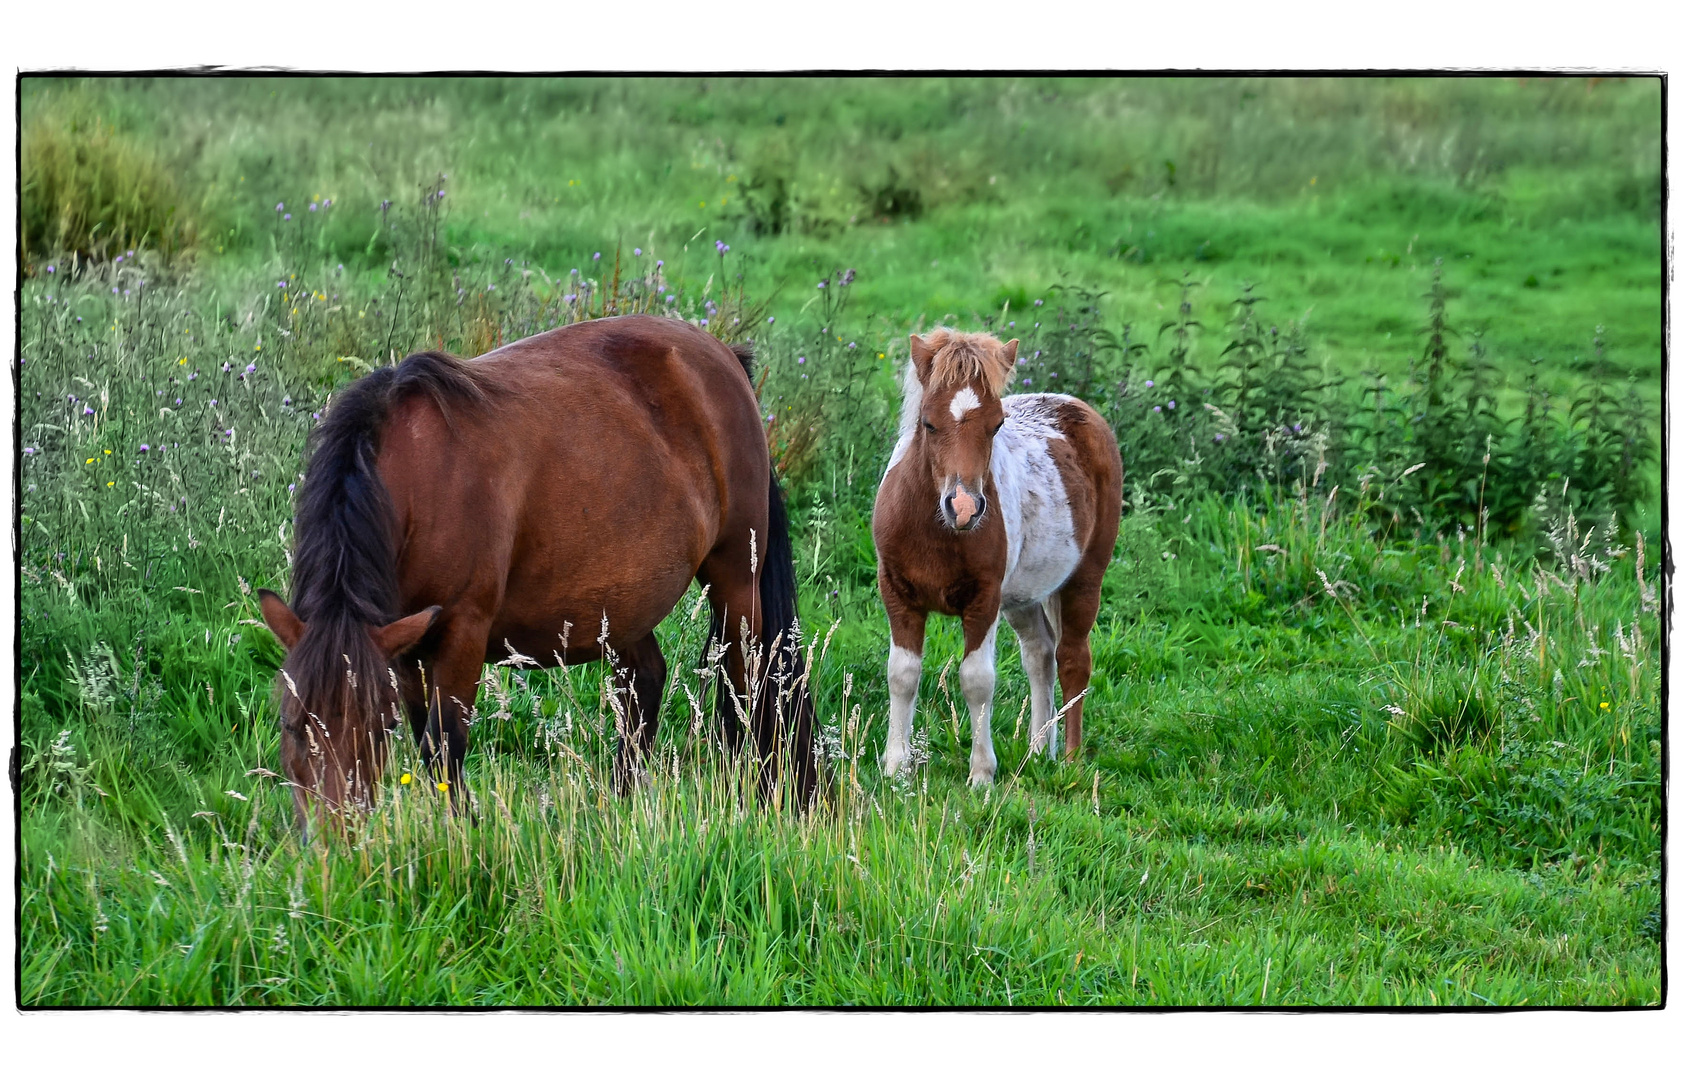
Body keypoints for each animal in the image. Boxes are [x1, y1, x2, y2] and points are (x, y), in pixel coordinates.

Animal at [255, 311, 820, 834]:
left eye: (377, 729)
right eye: (290, 724)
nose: (334, 844)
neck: (416, 482)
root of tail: (725, 357)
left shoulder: (460, 633)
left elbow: (444, 745)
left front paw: (463, 835)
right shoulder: (404, 649)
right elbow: (427, 741)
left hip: (735, 578)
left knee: (754, 688)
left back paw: (765, 800)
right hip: (620, 607)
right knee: (645, 682)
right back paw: (617, 807)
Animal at [874, 322, 1123, 777]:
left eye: (996, 425)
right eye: (928, 423)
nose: (964, 507)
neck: (935, 531)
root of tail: (1077, 405)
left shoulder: (984, 598)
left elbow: (977, 680)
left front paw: (981, 774)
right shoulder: (898, 593)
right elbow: (902, 673)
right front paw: (896, 769)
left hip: (1084, 578)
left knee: (1073, 658)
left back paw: (1071, 760)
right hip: (1023, 594)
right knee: (1041, 654)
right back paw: (1038, 751)